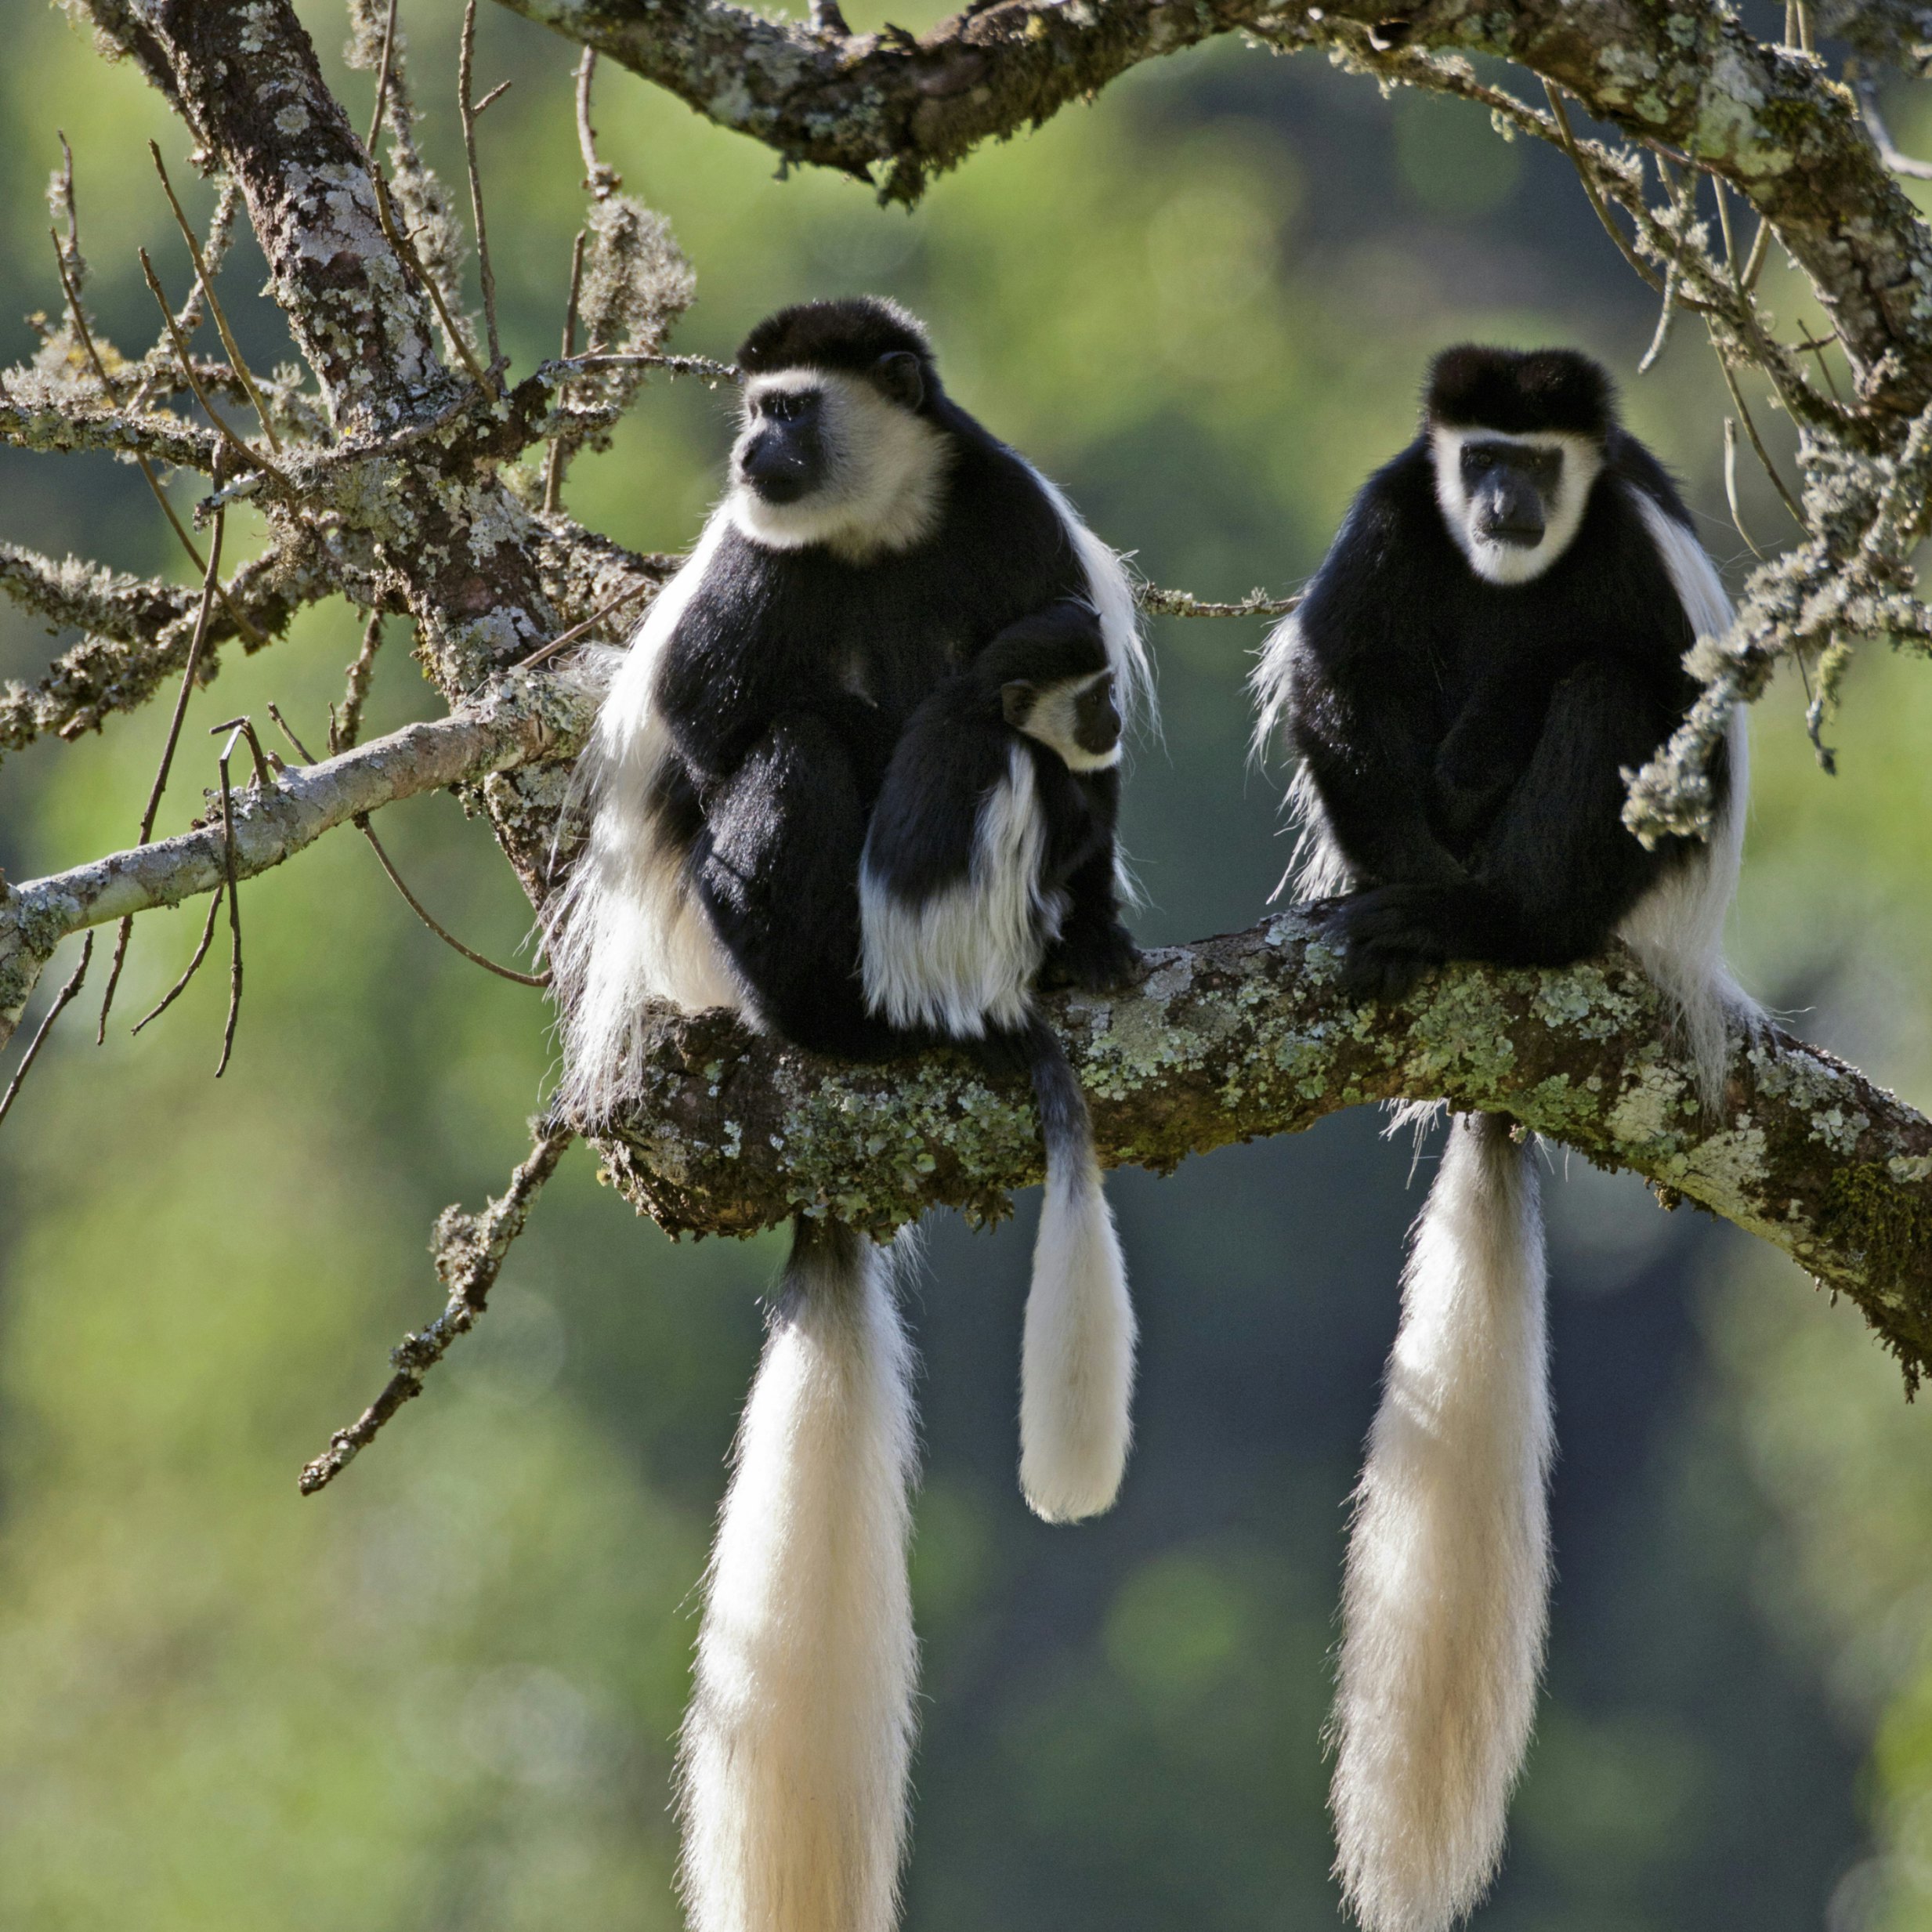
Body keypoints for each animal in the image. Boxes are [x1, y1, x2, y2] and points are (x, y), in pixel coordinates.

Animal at [859, 596, 1138, 1525]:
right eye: (1091, 699)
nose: (1115, 722)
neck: (986, 707)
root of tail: (968, 1008)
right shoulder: (1022, 774)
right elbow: (1065, 818)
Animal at [1250, 345, 1751, 1932]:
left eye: (1534, 462)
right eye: (1480, 457)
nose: (1504, 504)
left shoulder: (1633, 545)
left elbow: (1648, 687)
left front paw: (1490, 749)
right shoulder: (1389, 515)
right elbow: (1333, 666)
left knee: (1605, 691)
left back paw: (1492, 922)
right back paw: (1410, 912)